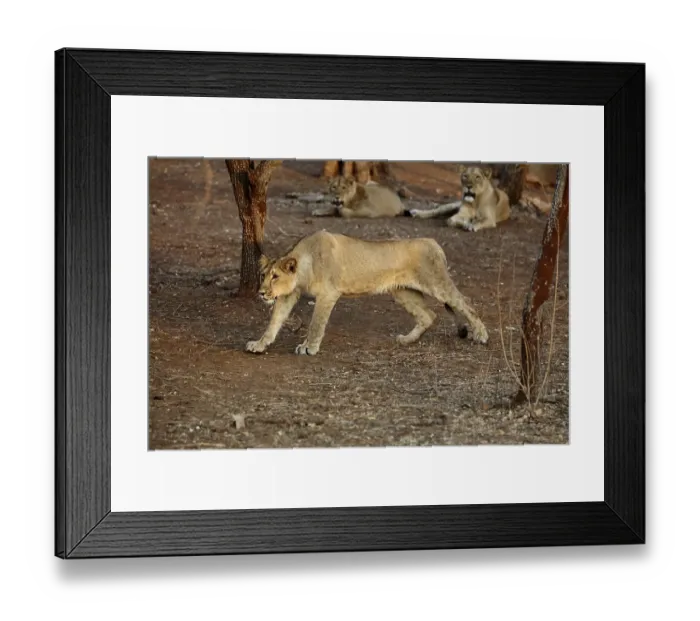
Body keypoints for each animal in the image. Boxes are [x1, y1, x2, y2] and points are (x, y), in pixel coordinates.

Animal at [245, 230, 489, 356]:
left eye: (275, 276)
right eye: (263, 275)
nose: (262, 293)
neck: (306, 263)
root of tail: (434, 242)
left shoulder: (328, 293)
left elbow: (316, 324)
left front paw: (309, 347)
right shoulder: (288, 295)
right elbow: (274, 322)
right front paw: (259, 344)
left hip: (436, 283)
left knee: (465, 303)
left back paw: (481, 335)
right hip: (403, 293)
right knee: (429, 315)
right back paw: (406, 340)